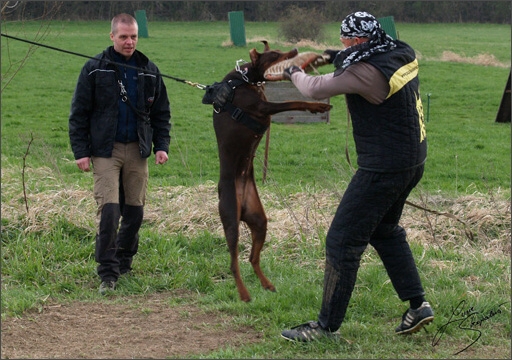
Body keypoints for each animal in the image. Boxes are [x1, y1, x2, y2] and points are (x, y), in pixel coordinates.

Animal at [204, 40, 332, 302]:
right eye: (274, 55)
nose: (295, 50)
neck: (246, 80)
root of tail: (242, 205)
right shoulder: (262, 107)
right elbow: (292, 103)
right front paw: (317, 105)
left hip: (259, 220)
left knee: (253, 257)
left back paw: (266, 284)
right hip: (230, 220)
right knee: (234, 262)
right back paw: (244, 293)